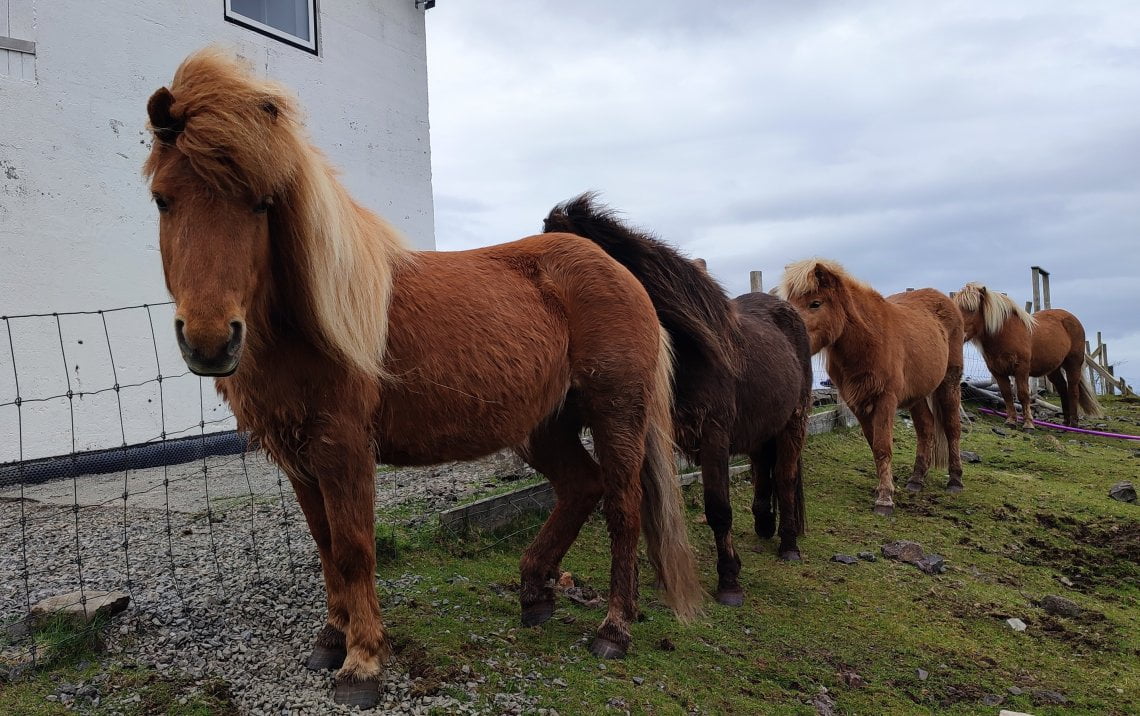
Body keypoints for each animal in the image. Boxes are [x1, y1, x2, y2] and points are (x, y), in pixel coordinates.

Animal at [137, 50, 697, 711]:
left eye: (261, 204)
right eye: (163, 200)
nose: (209, 340)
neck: (314, 321)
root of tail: (615, 268)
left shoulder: (344, 449)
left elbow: (354, 549)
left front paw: (361, 665)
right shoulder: (297, 458)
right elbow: (325, 546)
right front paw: (331, 639)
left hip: (616, 413)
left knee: (623, 508)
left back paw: (613, 629)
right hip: (543, 426)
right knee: (580, 486)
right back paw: (535, 595)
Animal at [547, 193, 816, 601]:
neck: (687, 353)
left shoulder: (714, 436)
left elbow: (718, 508)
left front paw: (729, 581)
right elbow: (651, 509)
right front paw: (660, 580)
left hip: (793, 422)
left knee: (784, 477)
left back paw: (788, 545)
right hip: (761, 428)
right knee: (761, 471)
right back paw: (764, 526)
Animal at [775, 259, 962, 517]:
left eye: (815, 303)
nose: (789, 339)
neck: (869, 339)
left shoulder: (885, 400)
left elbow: (883, 447)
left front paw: (884, 500)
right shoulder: (858, 403)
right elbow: (875, 446)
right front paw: (886, 487)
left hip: (949, 384)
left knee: (953, 428)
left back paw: (955, 480)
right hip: (917, 395)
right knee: (926, 429)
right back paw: (916, 479)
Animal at [953, 283, 1103, 430]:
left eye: (971, 310)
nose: (957, 332)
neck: (1004, 333)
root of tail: (1073, 319)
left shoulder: (1022, 368)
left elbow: (1023, 394)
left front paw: (1028, 424)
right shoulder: (998, 371)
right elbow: (1007, 395)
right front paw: (1011, 420)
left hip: (1073, 364)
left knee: (1073, 390)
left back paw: (1074, 424)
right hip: (1053, 369)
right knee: (1062, 388)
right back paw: (1065, 424)